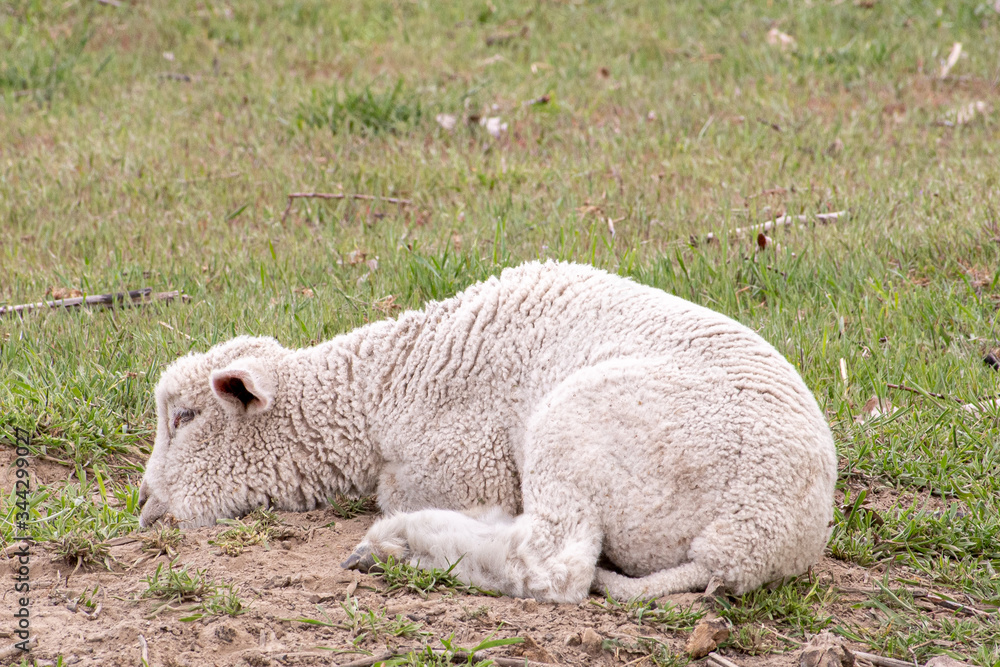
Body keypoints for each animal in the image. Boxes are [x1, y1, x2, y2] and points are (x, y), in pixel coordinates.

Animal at [138, 260, 837, 603]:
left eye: (185, 417)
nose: (144, 508)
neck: (384, 389)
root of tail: (754, 540)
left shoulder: (464, 462)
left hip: (575, 430)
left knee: (553, 568)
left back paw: (397, 544)